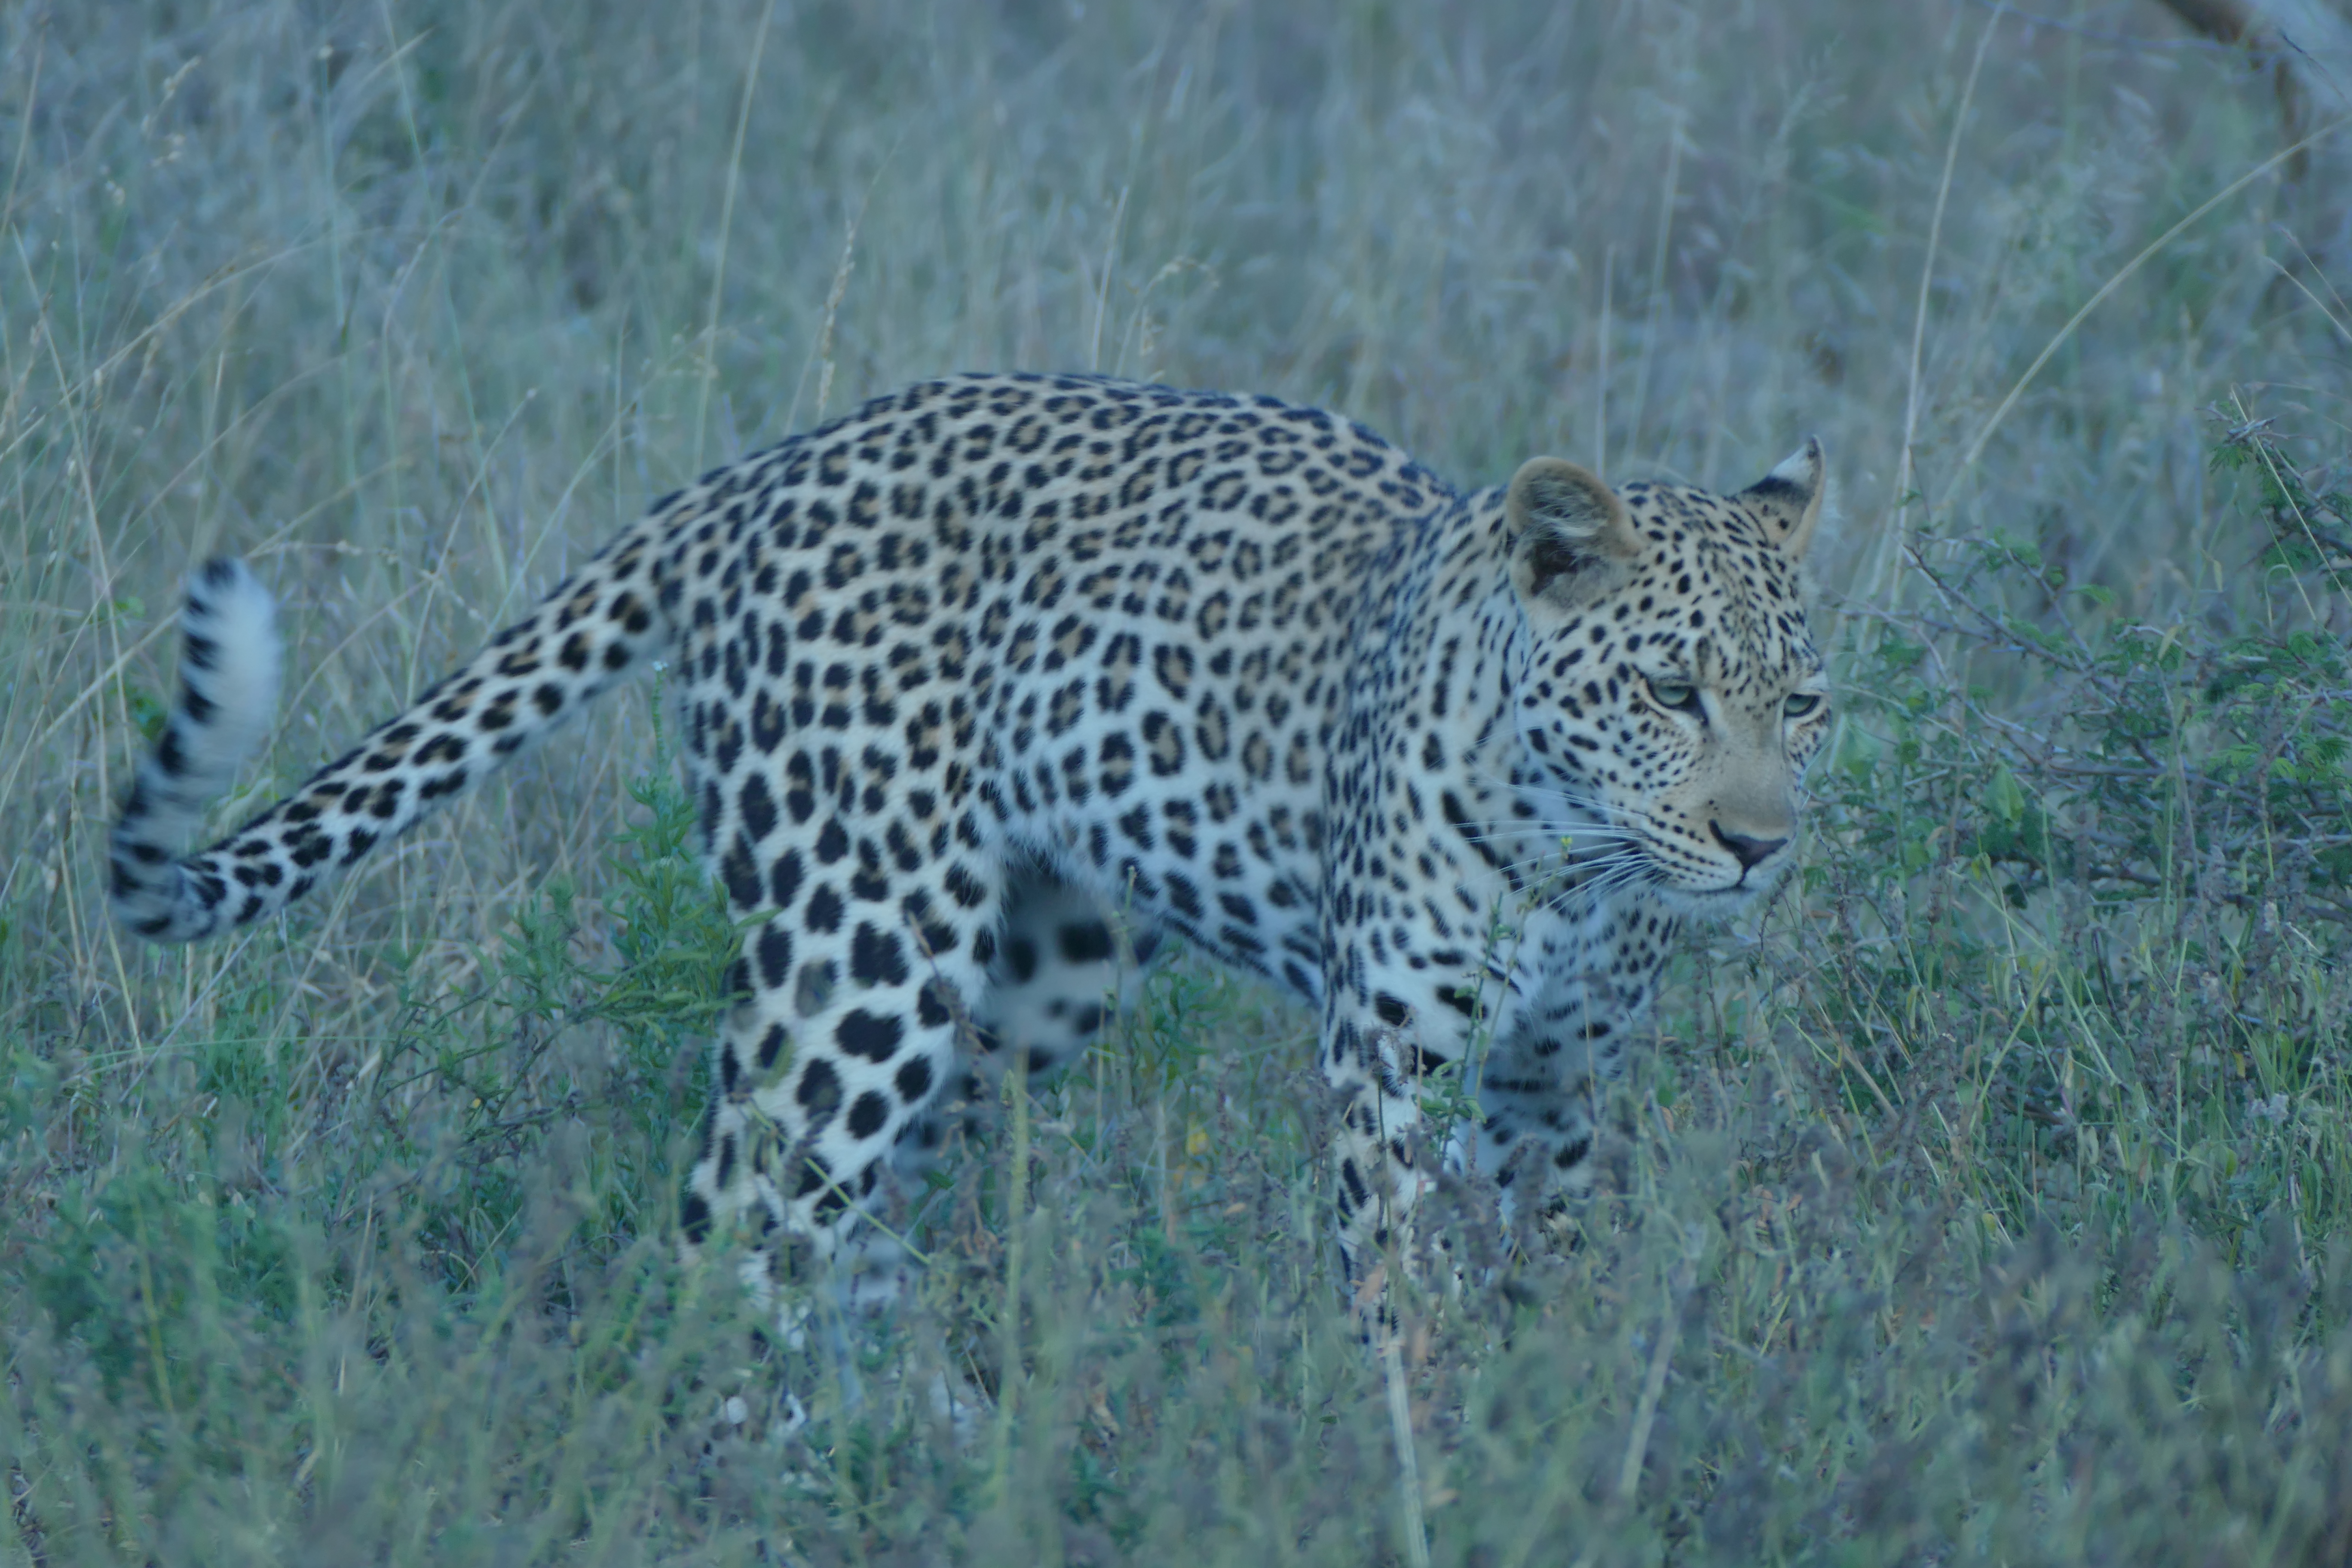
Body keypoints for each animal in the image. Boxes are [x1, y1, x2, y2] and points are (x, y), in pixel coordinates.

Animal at [108, 371, 1832, 1305]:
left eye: (1802, 703)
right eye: (1670, 690)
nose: (1759, 848)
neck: (1577, 857)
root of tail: (771, 464)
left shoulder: (1560, 1073)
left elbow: (1558, 1276)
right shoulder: (1392, 1058)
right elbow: (1408, 1289)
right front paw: (1436, 1466)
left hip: (1034, 974)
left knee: (855, 1233)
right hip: (862, 948)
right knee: (737, 1226)